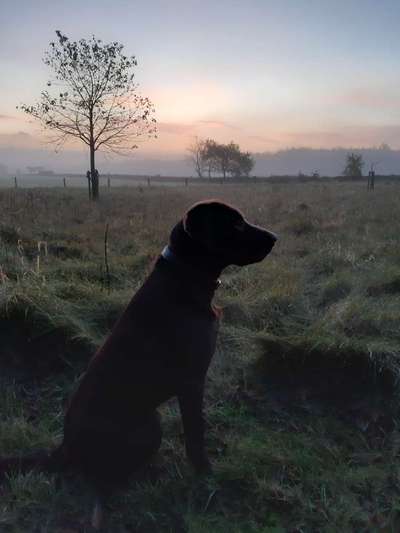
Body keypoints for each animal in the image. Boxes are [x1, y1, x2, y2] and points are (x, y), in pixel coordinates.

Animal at [0, 198, 276, 524]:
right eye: (235, 224)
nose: (274, 238)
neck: (185, 277)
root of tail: (64, 448)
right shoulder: (192, 381)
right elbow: (195, 435)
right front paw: (205, 474)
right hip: (149, 425)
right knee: (104, 477)